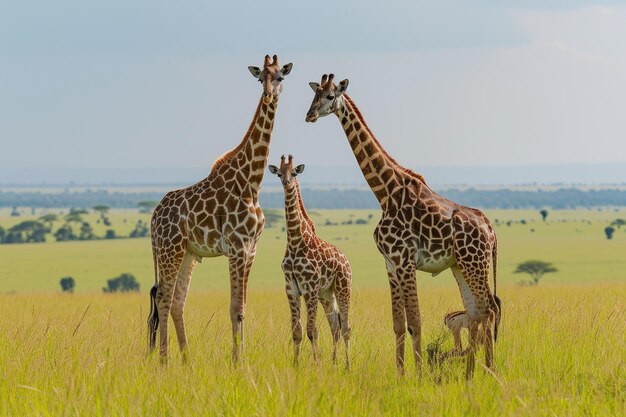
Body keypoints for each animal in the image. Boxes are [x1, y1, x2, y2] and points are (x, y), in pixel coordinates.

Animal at [147, 54, 292, 360]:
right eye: (260, 78)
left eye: (280, 77)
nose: (269, 94)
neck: (252, 182)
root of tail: (153, 217)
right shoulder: (236, 247)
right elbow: (235, 307)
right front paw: (238, 362)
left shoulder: (251, 248)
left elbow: (242, 308)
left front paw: (242, 359)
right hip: (169, 250)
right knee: (163, 298)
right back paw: (164, 360)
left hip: (188, 253)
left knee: (177, 301)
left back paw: (187, 361)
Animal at [266, 155, 352, 368]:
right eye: (279, 173)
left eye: (294, 172)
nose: (286, 182)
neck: (296, 241)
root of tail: (346, 260)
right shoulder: (292, 288)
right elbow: (297, 331)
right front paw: (296, 364)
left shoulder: (310, 288)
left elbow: (312, 331)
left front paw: (316, 363)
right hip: (326, 294)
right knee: (335, 327)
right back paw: (334, 362)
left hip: (343, 287)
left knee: (346, 327)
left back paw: (347, 366)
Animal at [302, 74, 498, 376]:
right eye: (315, 94)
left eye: (330, 96)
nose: (309, 115)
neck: (385, 192)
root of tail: (491, 230)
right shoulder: (391, 264)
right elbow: (398, 324)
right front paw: (400, 373)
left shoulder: (405, 261)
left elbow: (415, 322)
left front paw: (418, 375)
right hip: (460, 266)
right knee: (477, 311)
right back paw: (472, 373)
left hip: (475, 264)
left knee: (489, 310)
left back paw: (488, 370)